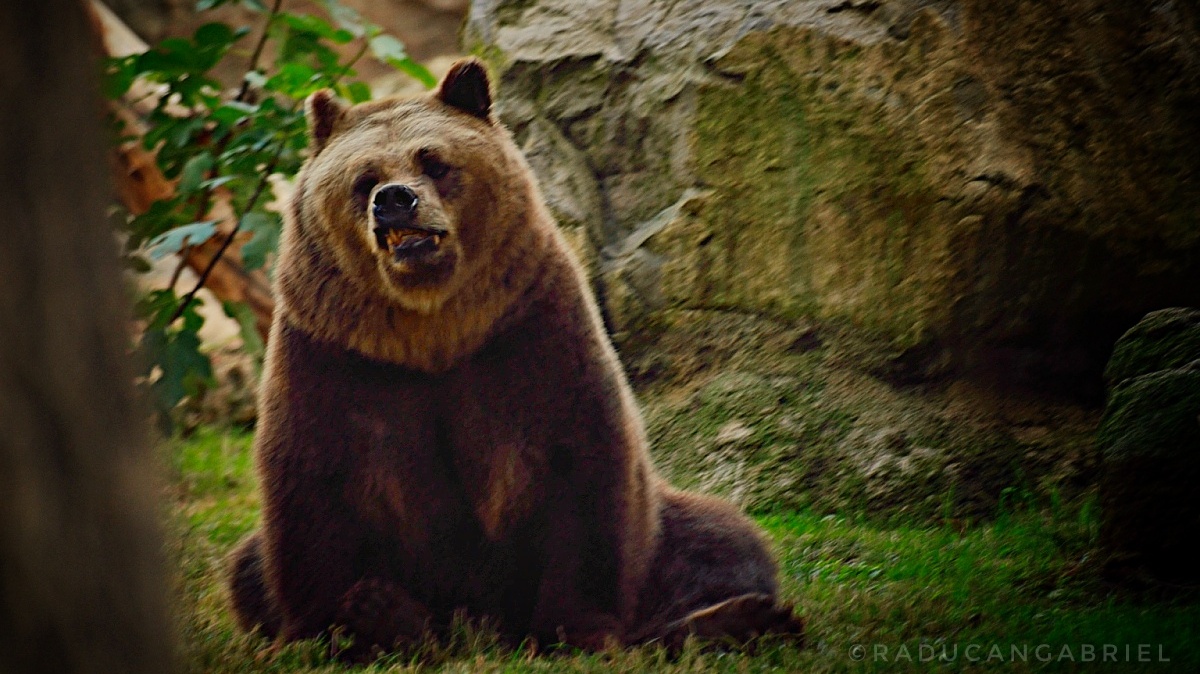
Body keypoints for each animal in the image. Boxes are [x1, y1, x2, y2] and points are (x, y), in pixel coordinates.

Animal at [227, 57, 802, 661]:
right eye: (362, 178)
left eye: (434, 161)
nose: (394, 199)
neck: (431, 330)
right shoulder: (335, 358)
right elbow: (313, 491)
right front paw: (336, 626)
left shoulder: (529, 337)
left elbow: (583, 472)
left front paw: (578, 629)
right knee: (246, 567)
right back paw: (389, 613)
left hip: (660, 531)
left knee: (723, 538)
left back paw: (741, 616)